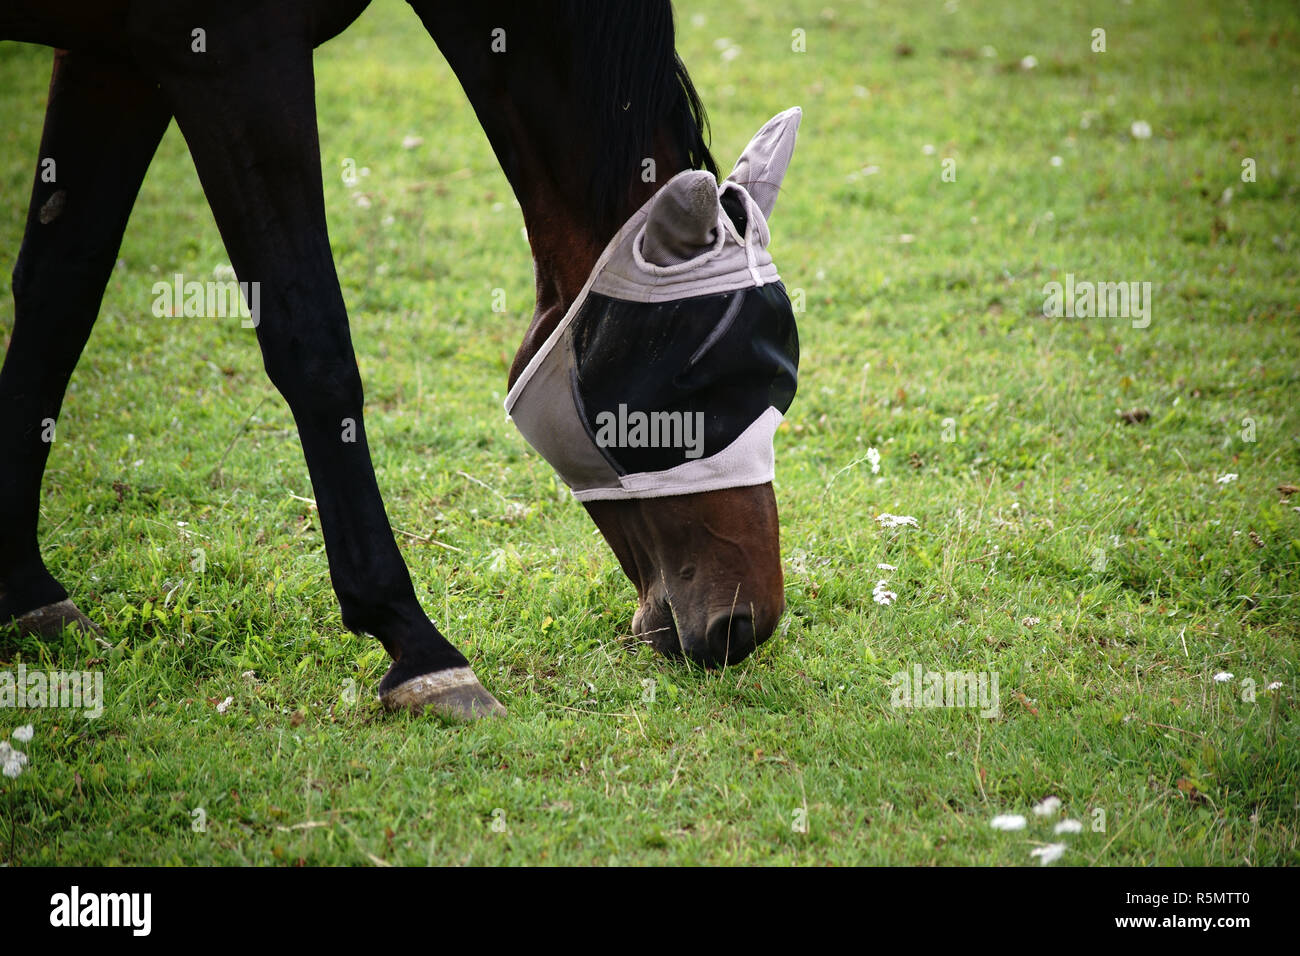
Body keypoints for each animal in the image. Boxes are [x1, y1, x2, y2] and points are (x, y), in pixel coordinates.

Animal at [0, 0, 795, 717]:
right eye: (700, 384)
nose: (747, 627)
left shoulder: (113, 59)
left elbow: (58, 292)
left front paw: (27, 589)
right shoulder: (229, 58)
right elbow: (312, 339)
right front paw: (416, 646)